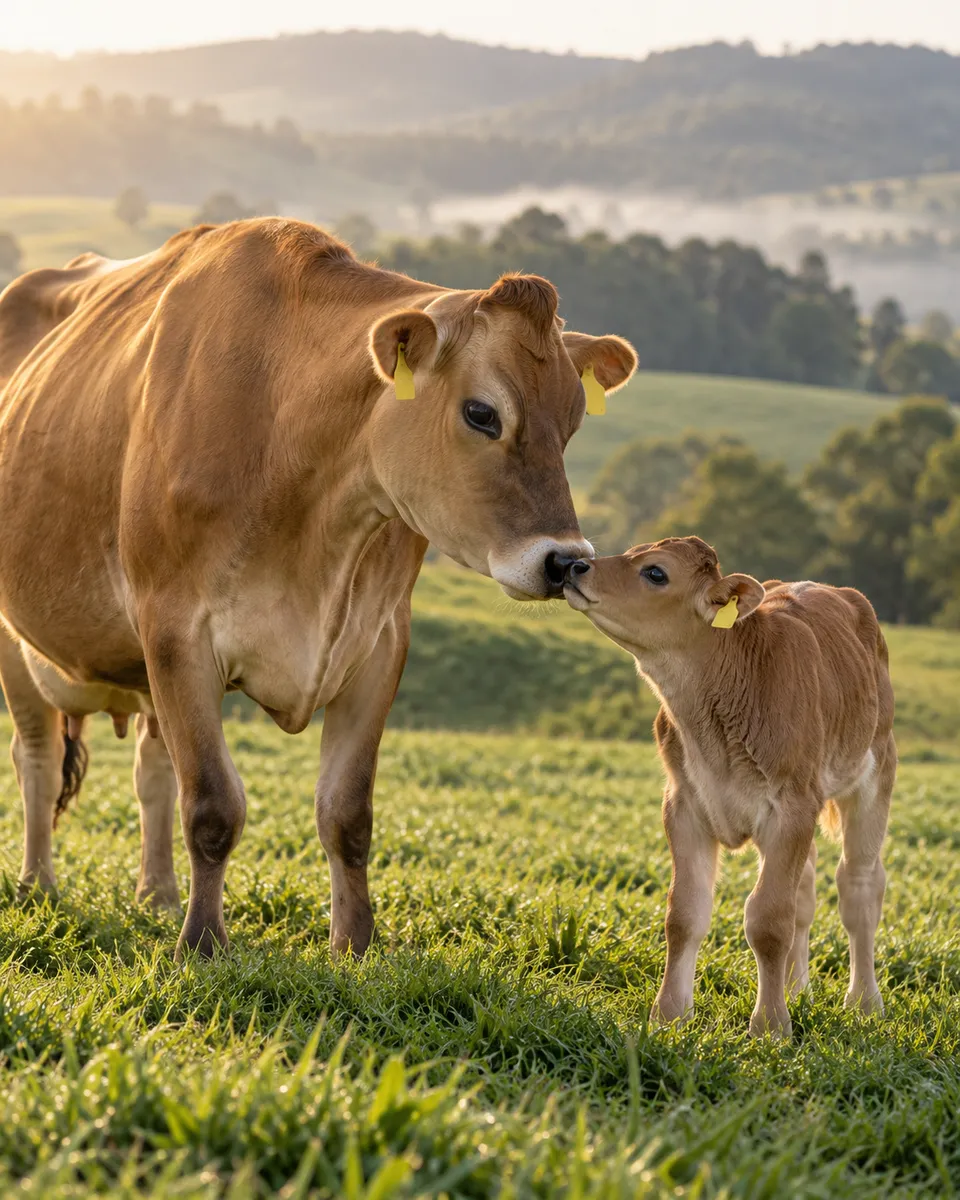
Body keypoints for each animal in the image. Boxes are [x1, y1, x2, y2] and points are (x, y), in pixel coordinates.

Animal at [0, 219, 637, 958]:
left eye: (572, 422)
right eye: (482, 413)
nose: (564, 561)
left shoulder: (379, 642)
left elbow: (347, 814)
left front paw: (355, 944)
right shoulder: (176, 631)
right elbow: (212, 805)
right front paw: (203, 945)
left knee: (151, 769)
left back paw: (157, 895)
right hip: (22, 642)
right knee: (39, 757)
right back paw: (38, 884)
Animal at [562, 537, 895, 1037]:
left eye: (655, 572)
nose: (576, 565)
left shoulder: (792, 807)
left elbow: (768, 920)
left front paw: (771, 1026)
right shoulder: (685, 804)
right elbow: (685, 914)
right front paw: (669, 1015)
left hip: (875, 774)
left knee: (859, 886)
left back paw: (863, 1002)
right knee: (805, 892)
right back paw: (797, 989)